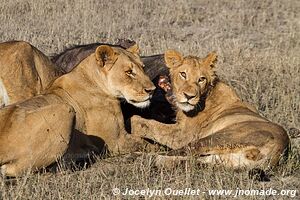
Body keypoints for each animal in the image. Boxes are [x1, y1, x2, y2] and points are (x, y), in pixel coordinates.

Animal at [1, 44, 157, 177]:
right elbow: (147, 144)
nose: (152, 90)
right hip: (66, 109)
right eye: (129, 72)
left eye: (143, 68)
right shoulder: (116, 141)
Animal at [132, 50, 290, 169]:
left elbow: (146, 123)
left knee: (182, 152)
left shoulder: (182, 135)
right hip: (223, 159)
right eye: (183, 74)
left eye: (201, 79)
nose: (189, 96)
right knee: (189, 160)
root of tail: (280, 149)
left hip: (216, 138)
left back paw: (139, 158)